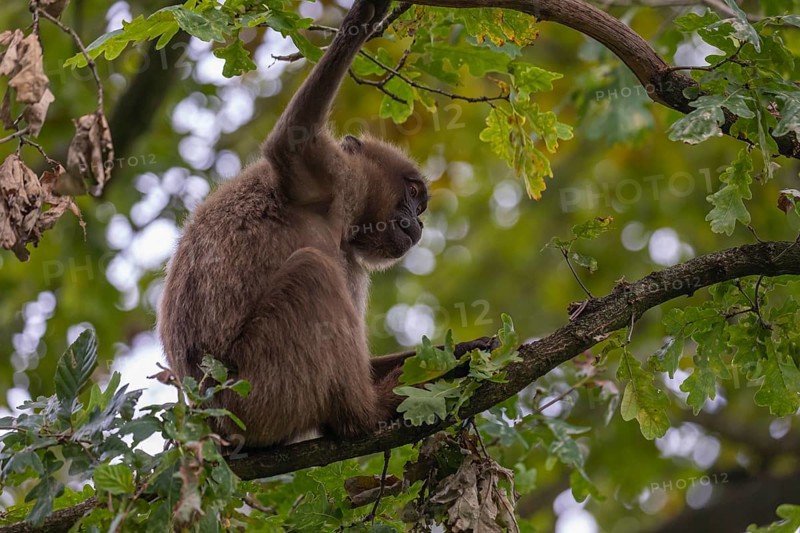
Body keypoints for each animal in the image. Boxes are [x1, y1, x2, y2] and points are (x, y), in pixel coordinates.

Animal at [158, 0, 490, 447]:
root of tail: (212, 421)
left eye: (420, 207)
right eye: (412, 194)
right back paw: (364, 413)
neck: (341, 222)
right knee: (312, 270)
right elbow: (289, 142)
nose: (418, 226)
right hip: (258, 392)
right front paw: (363, 18)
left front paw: (464, 352)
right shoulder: (335, 180)